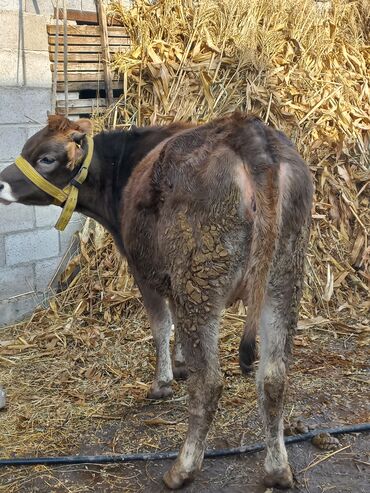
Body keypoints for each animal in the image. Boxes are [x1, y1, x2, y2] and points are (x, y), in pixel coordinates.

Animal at [0, 114, 314, 488]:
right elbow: (176, 325)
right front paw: (179, 364)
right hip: (283, 279)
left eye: (46, 158)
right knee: (273, 377)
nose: (1, 183)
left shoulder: (143, 269)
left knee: (209, 382)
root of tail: (247, 131)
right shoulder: (171, 278)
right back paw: (277, 469)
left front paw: (162, 382)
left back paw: (183, 468)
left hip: (200, 276)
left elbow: (162, 325)